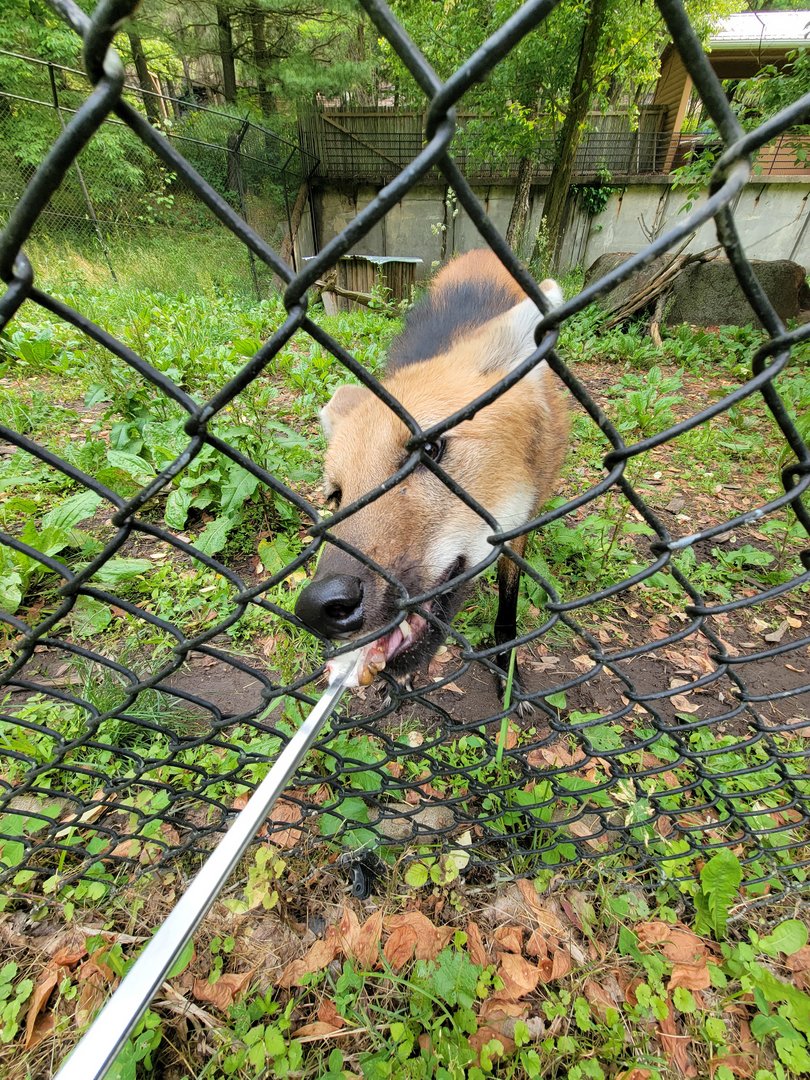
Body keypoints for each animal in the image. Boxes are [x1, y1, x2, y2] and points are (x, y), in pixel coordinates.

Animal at [294, 249, 568, 695]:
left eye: (429, 451)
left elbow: (508, 607)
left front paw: (507, 671)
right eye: (337, 496)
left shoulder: (520, 526)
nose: (318, 605)